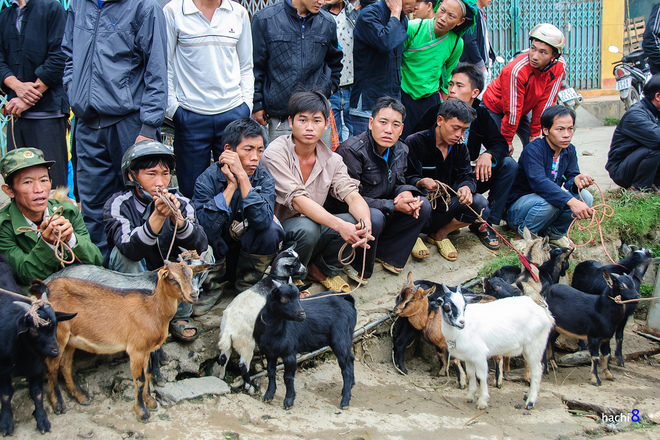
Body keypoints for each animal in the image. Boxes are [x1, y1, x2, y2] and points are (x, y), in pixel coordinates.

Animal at [45, 262, 209, 422]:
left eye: (191, 274)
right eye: (173, 278)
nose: (193, 295)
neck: (151, 309)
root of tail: (48, 286)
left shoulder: (146, 349)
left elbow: (147, 373)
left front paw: (150, 401)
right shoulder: (136, 349)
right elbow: (139, 379)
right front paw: (142, 412)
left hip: (70, 339)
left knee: (65, 364)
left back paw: (81, 396)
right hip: (58, 336)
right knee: (51, 367)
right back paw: (58, 405)